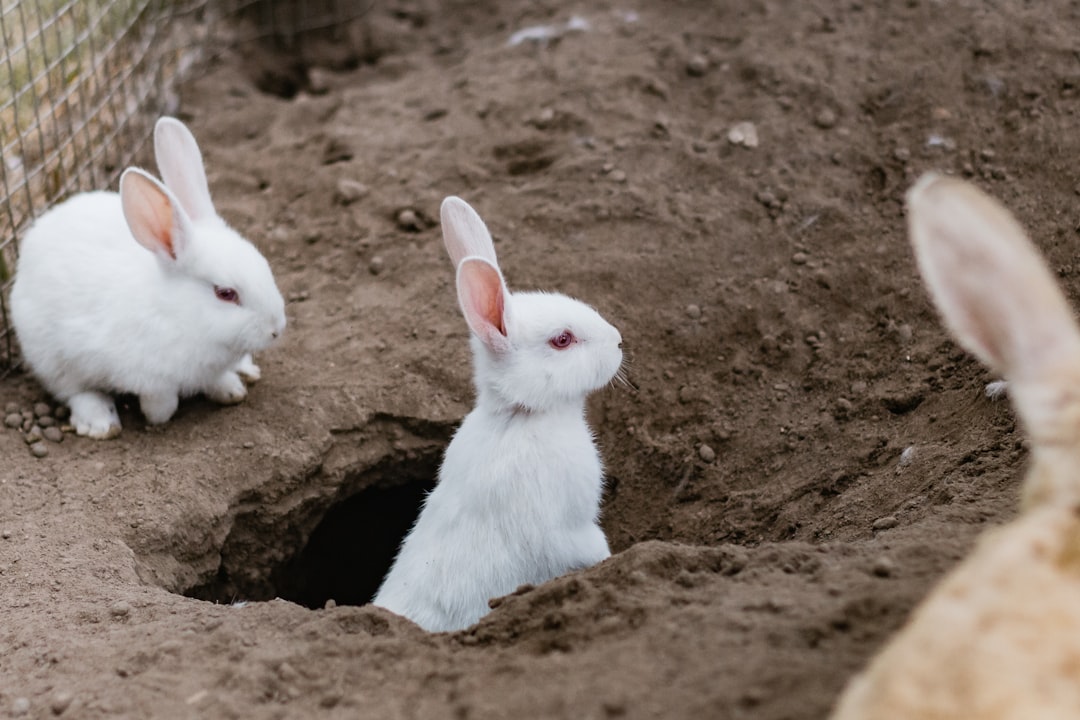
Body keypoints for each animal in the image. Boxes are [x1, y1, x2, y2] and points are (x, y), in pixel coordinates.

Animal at [9, 117, 287, 440]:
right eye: (226, 293)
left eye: (264, 265)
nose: (276, 329)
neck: (178, 314)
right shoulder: (150, 378)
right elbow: (161, 399)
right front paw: (159, 418)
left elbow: (217, 380)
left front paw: (231, 391)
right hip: (50, 357)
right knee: (75, 391)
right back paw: (100, 423)